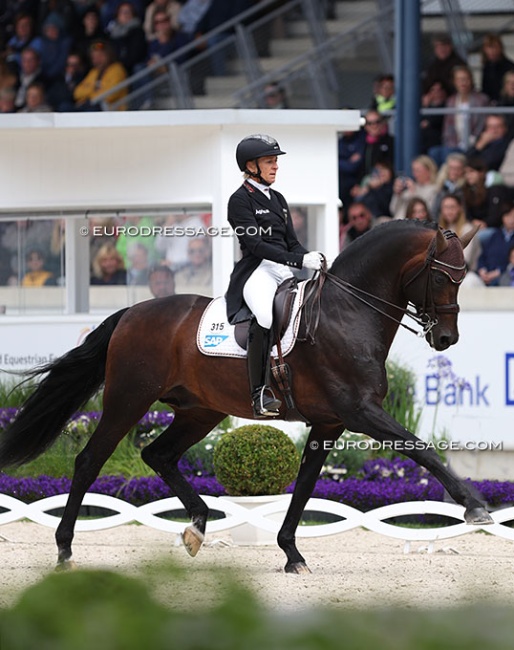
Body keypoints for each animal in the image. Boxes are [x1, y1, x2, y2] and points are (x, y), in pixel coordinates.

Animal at [0, 221, 490, 572]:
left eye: (464, 277)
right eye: (441, 278)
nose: (446, 338)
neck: (347, 313)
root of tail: (131, 312)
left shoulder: (330, 422)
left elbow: (305, 486)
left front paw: (291, 554)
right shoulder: (360, 411)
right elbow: (422, 450)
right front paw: (476, 507)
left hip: (200, 412)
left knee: (158, 455)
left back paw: (197, 527)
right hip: (128, 400)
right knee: (89, 461)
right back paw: (64, 550)